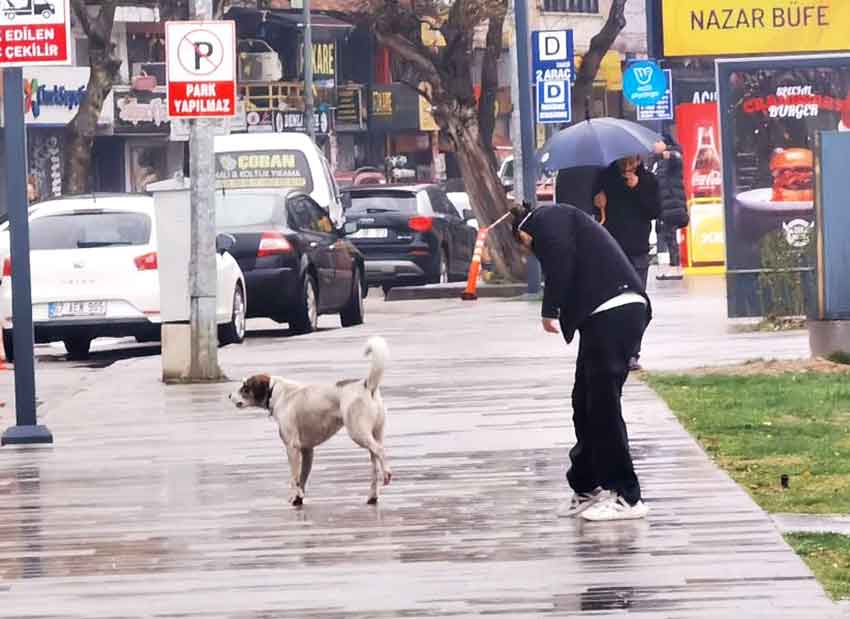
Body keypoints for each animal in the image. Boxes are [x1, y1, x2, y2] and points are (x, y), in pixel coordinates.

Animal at [230, 336, 392, 506]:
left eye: (245, 387)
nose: (229, 395)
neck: (277, 392)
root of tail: (367, 385)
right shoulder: (307, 450)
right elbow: (302, 478)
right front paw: (299, 497)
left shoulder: (292, 447)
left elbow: (294, 477)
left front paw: (295, 496)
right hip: (375, 434)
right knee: (375, 464)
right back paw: (373, 496)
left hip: (358, 433)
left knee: (380, 450)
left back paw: (387, 473)